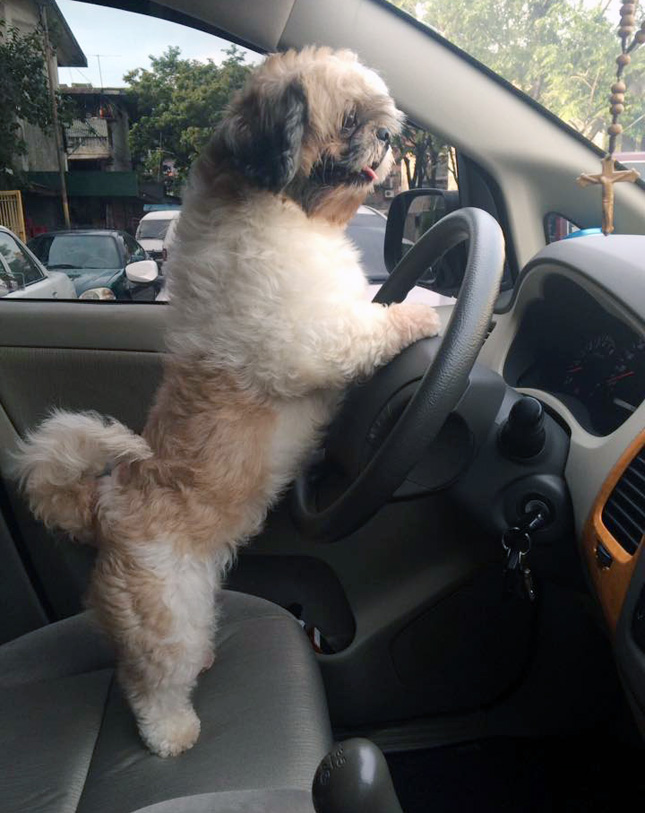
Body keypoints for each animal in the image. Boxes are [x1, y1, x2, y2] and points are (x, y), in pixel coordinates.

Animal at [13, 47, 441, 757]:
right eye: (349, 119)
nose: (386, 136)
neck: (284, 212)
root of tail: (105, 506)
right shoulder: (315, 337)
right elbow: (371, 327)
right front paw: (427, 312)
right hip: (167, 619)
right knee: (150, 681)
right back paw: (171, 732)